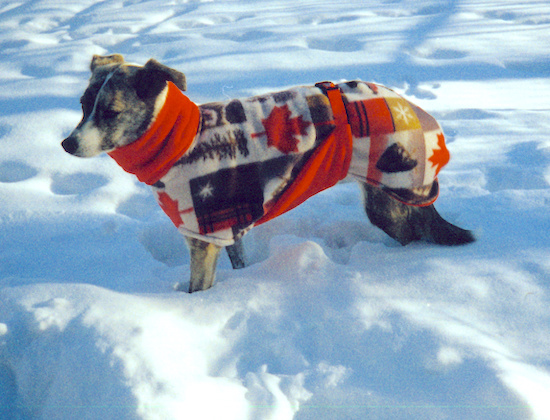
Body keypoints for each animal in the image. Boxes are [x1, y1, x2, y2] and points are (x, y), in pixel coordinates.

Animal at [59, 55, 474, 292]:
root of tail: (411, 109)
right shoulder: (224, 229)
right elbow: (238, 260)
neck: (180, 138)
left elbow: (198, 289)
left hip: (388, 199)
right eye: (82, 105)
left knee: (415, 235)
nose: (67, 144)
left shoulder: (201, 237)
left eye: (110, 112)